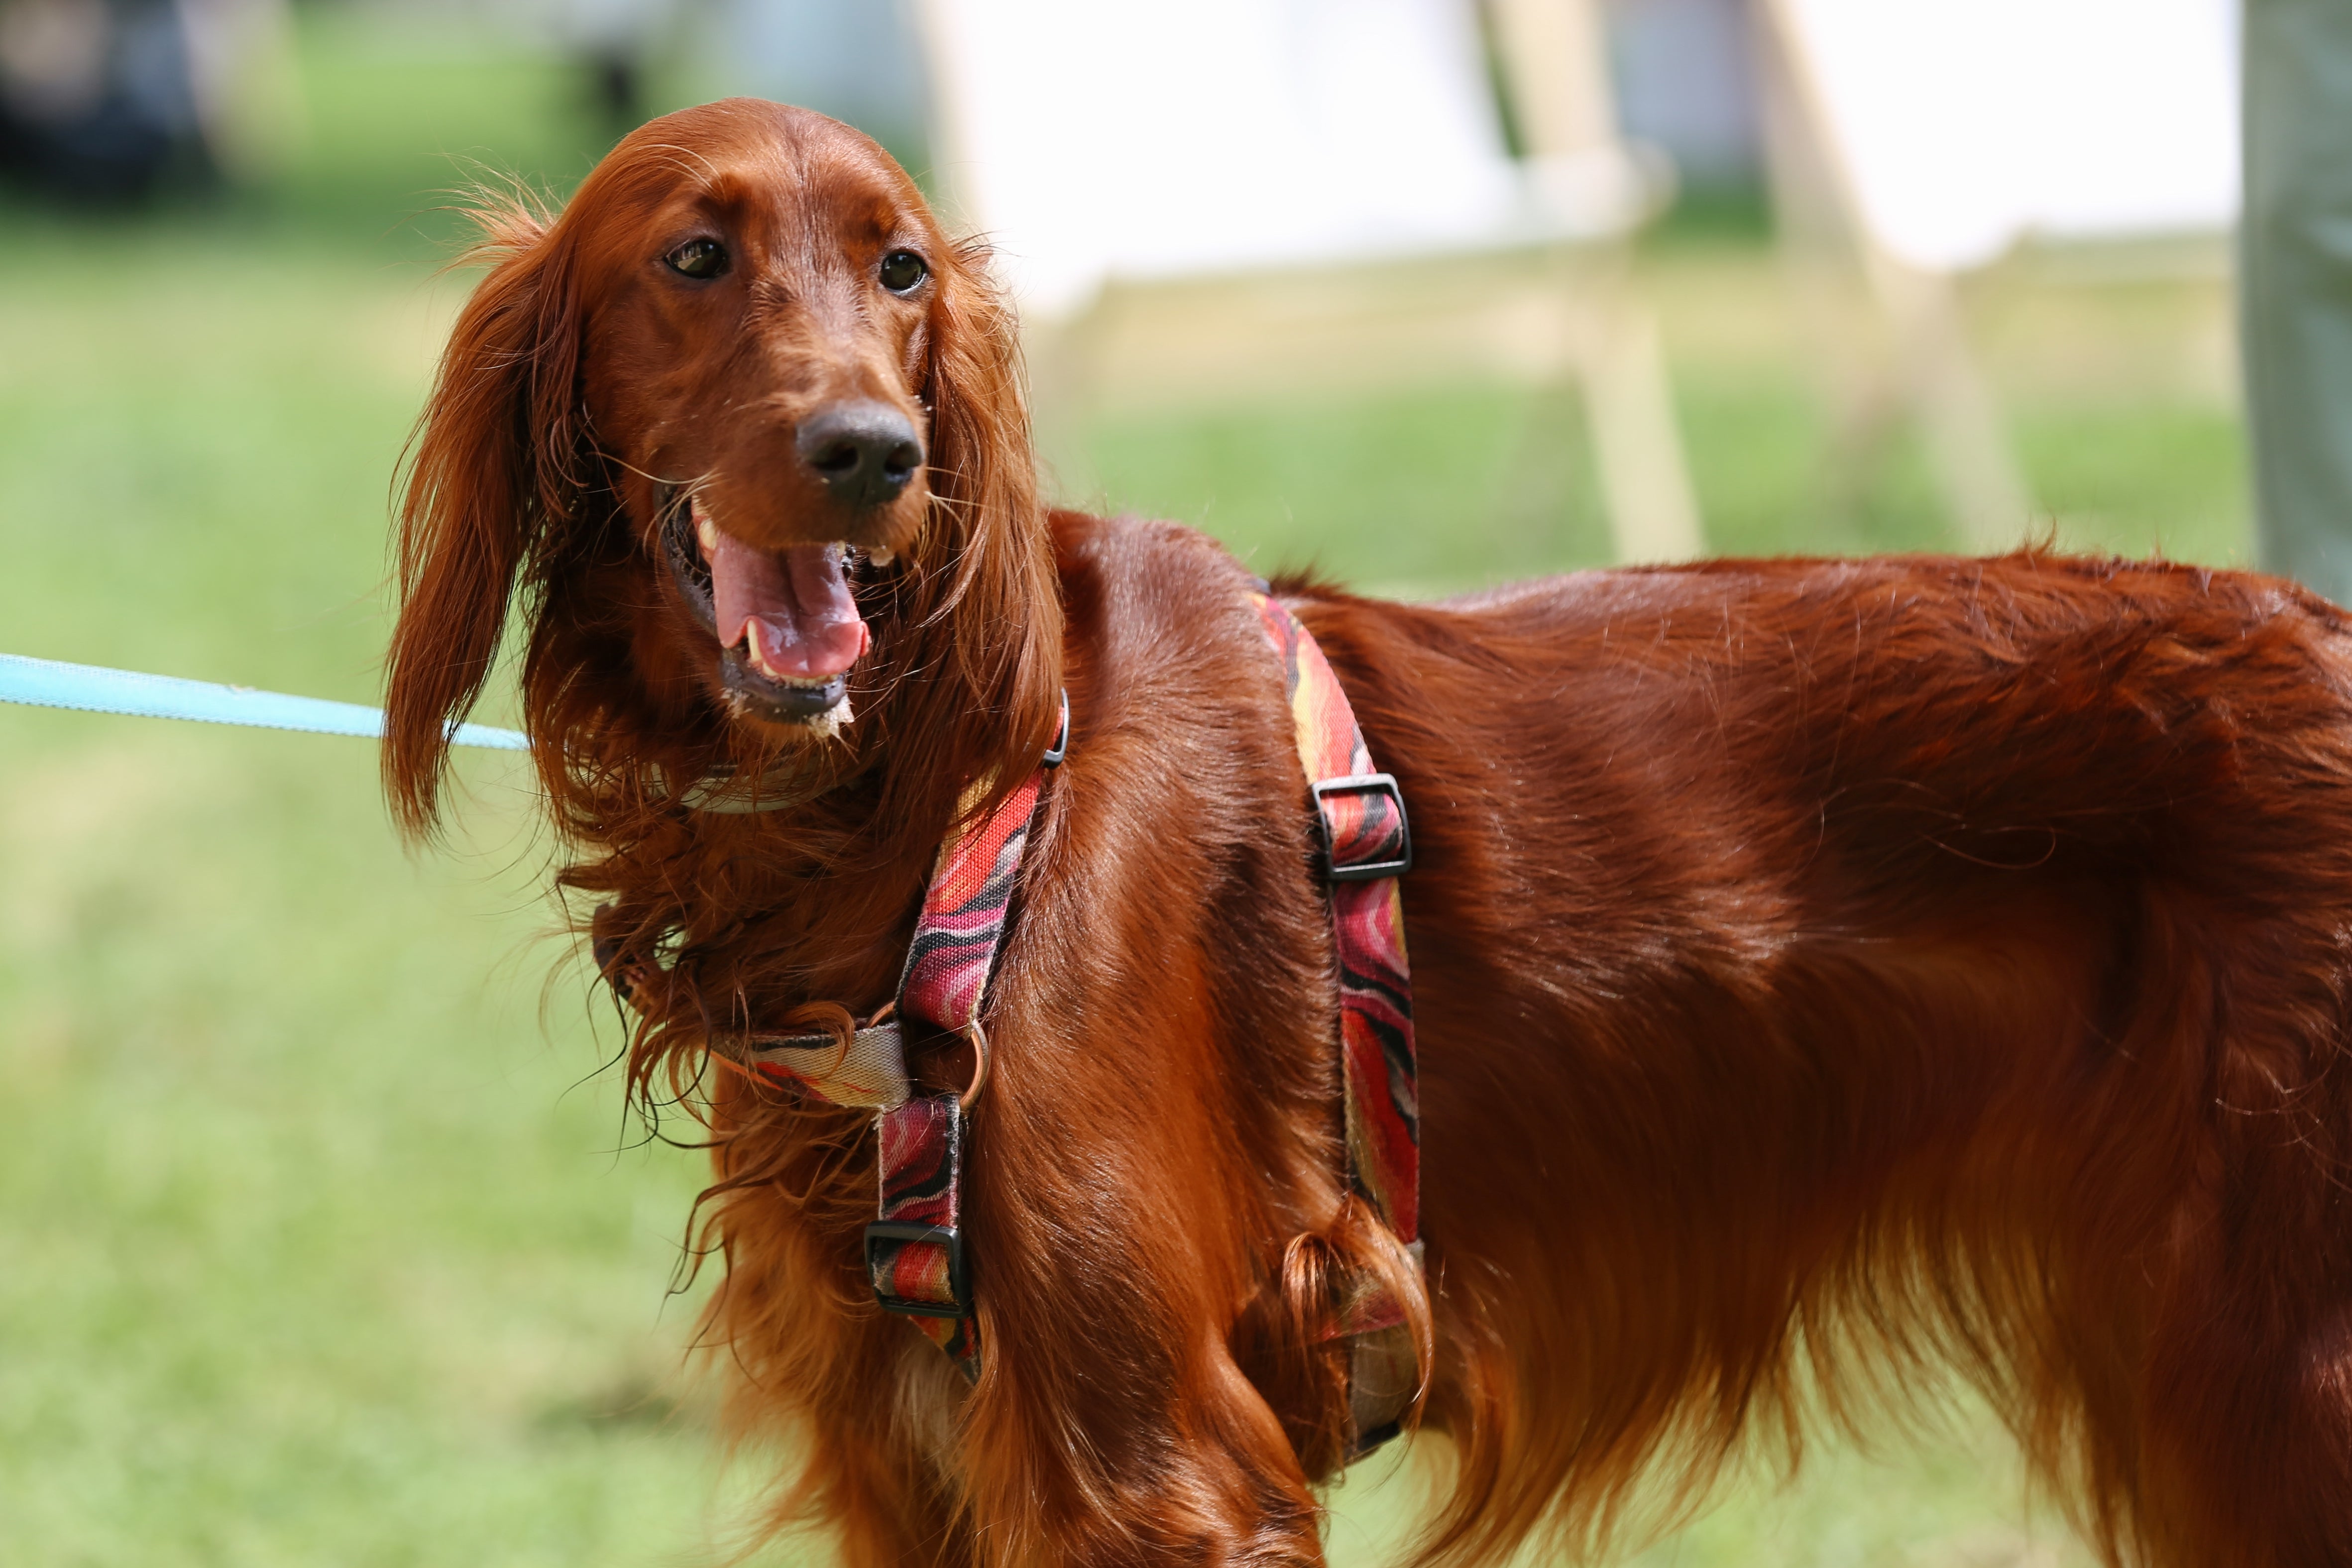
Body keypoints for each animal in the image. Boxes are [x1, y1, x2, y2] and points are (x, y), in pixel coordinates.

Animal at [384, 98, 2352, 1567]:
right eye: (691, 256)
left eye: (901, 268)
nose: (874, 452)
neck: (919, 790)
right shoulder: (914, 1458)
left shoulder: (1151, 1461)